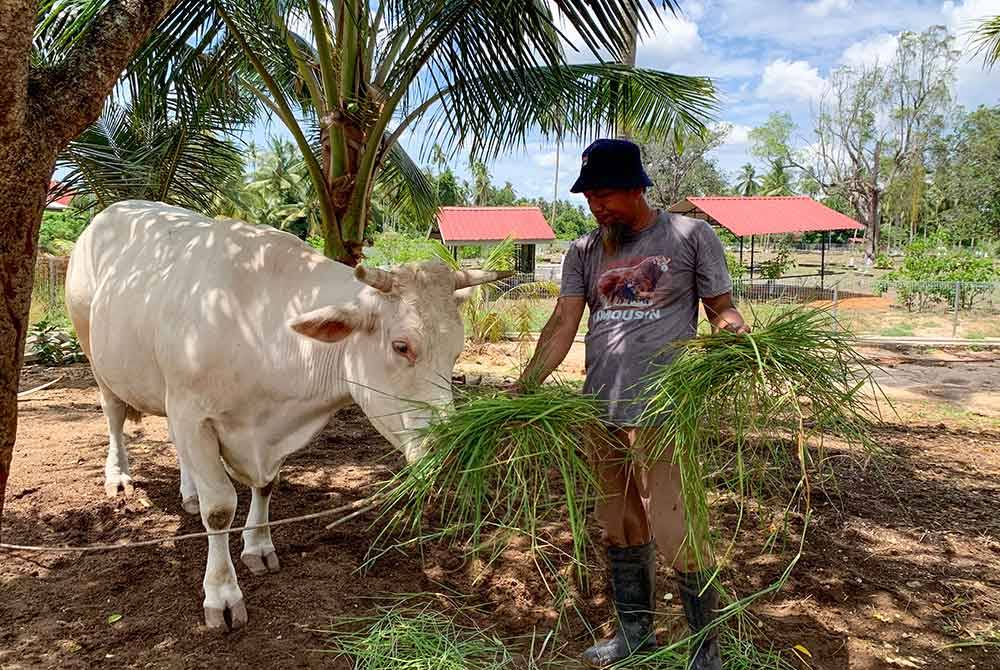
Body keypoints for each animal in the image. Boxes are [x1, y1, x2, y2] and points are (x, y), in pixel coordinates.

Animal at [63, 202, 504, 632]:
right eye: (401, 346)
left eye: (457, 350)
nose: (452, 449)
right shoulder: (193, 414)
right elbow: (219, 509)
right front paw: (222, 594)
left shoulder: (253, 430)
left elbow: (266, 486)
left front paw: (258, 547)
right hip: (95, 353)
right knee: (114, 414)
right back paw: (119, 476)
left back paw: (188, 492)